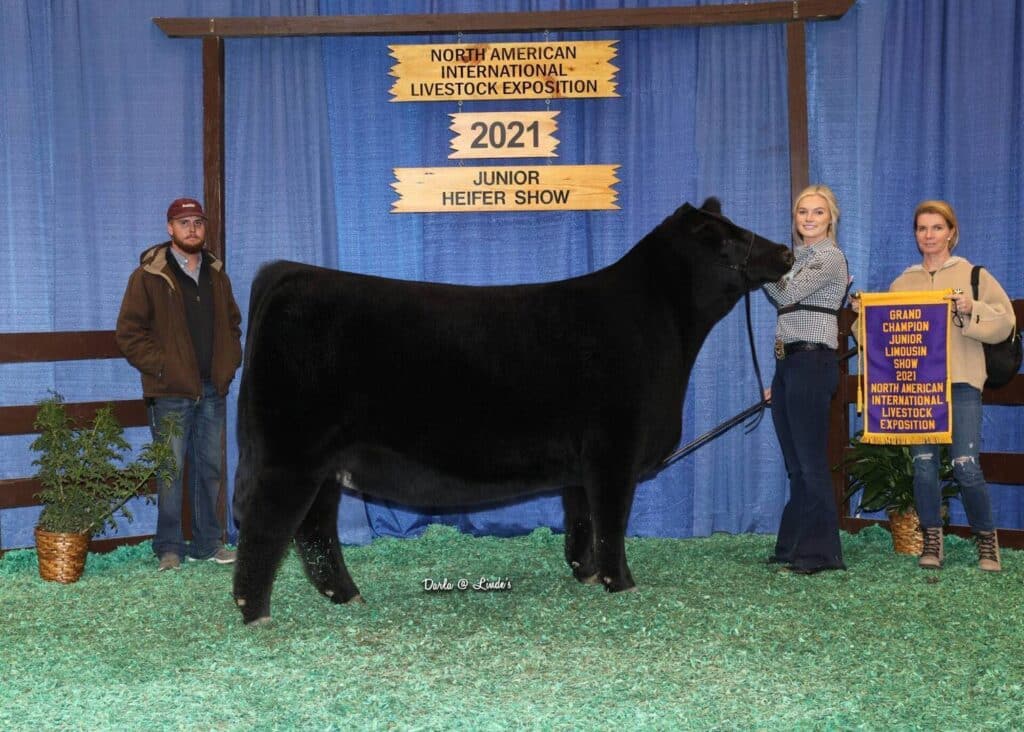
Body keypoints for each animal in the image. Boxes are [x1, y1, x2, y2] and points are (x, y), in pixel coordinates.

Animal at [231, 198, 793, 625]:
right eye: (728, 240)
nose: (787, 250)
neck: (663, 328)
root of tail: (289, 273)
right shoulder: (615, 450)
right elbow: (611, 521)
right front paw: (621, 583)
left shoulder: (583, 462)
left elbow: (582, 519)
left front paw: (586, 573)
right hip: (291, 455)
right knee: (266, 528)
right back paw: (255, 613)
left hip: (323, 462)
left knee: (315, 529)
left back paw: (347, 596)